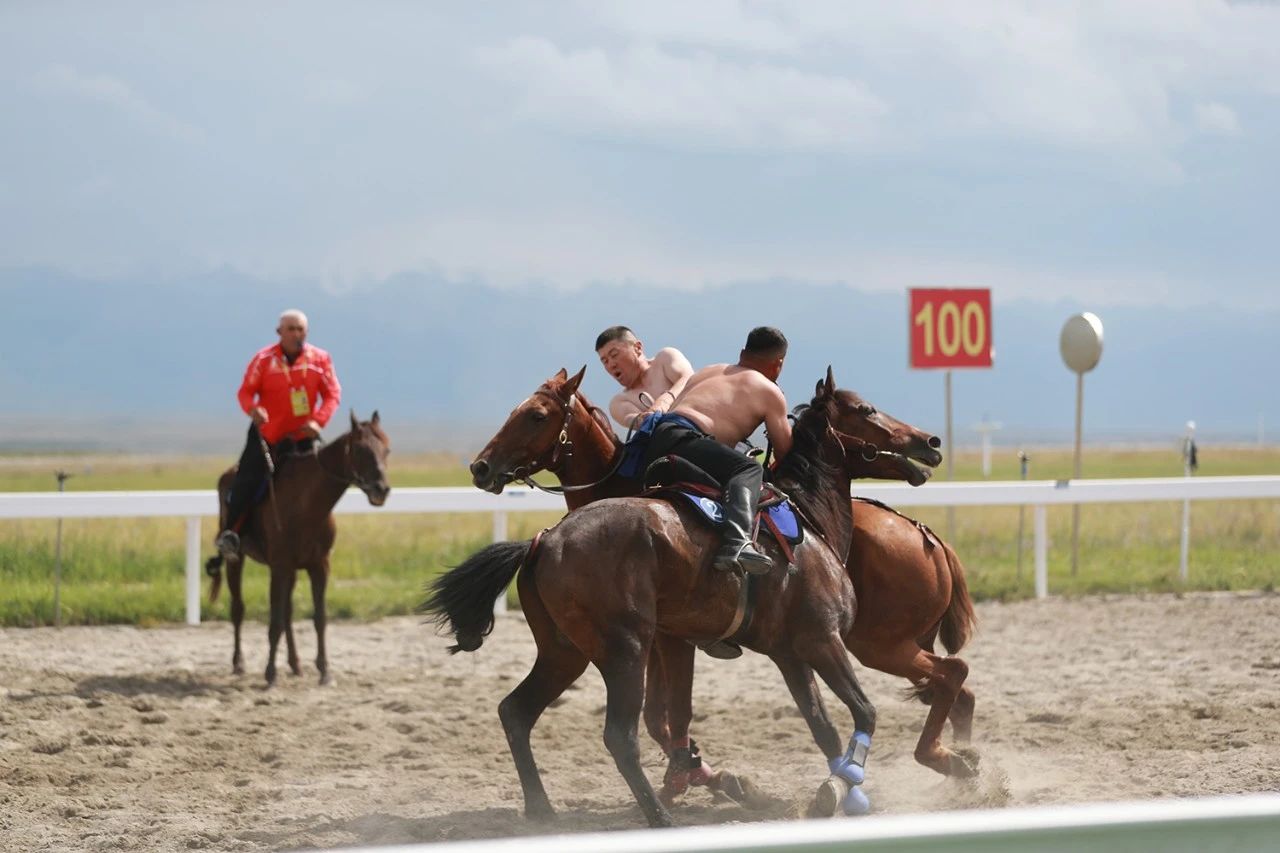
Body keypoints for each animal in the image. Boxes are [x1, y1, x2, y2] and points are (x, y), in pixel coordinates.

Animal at [204, 409, 389, 686]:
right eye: (360, 449)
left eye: (386, 449)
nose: (381, 489)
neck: (306, 503)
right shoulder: (279, 567)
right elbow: (274, 621)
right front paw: (270, 673)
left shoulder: (319, 566)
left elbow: (318, 618)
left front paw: (324, 671)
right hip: (236, 560)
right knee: (238, 608)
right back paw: (239, 663)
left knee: (288, 613)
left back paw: (295, 664)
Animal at [471, 366, 977, 799]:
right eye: (867, 410)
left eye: (536, 415)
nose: (929, 442)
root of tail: (927, 536)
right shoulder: (746, 642)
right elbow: (669, 718)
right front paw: (700, 775)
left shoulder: (687, 641)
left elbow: (670, 717)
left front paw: (704, 776)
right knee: (953, 679)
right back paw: (959, 760)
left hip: (876, 643)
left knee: (952, 677)